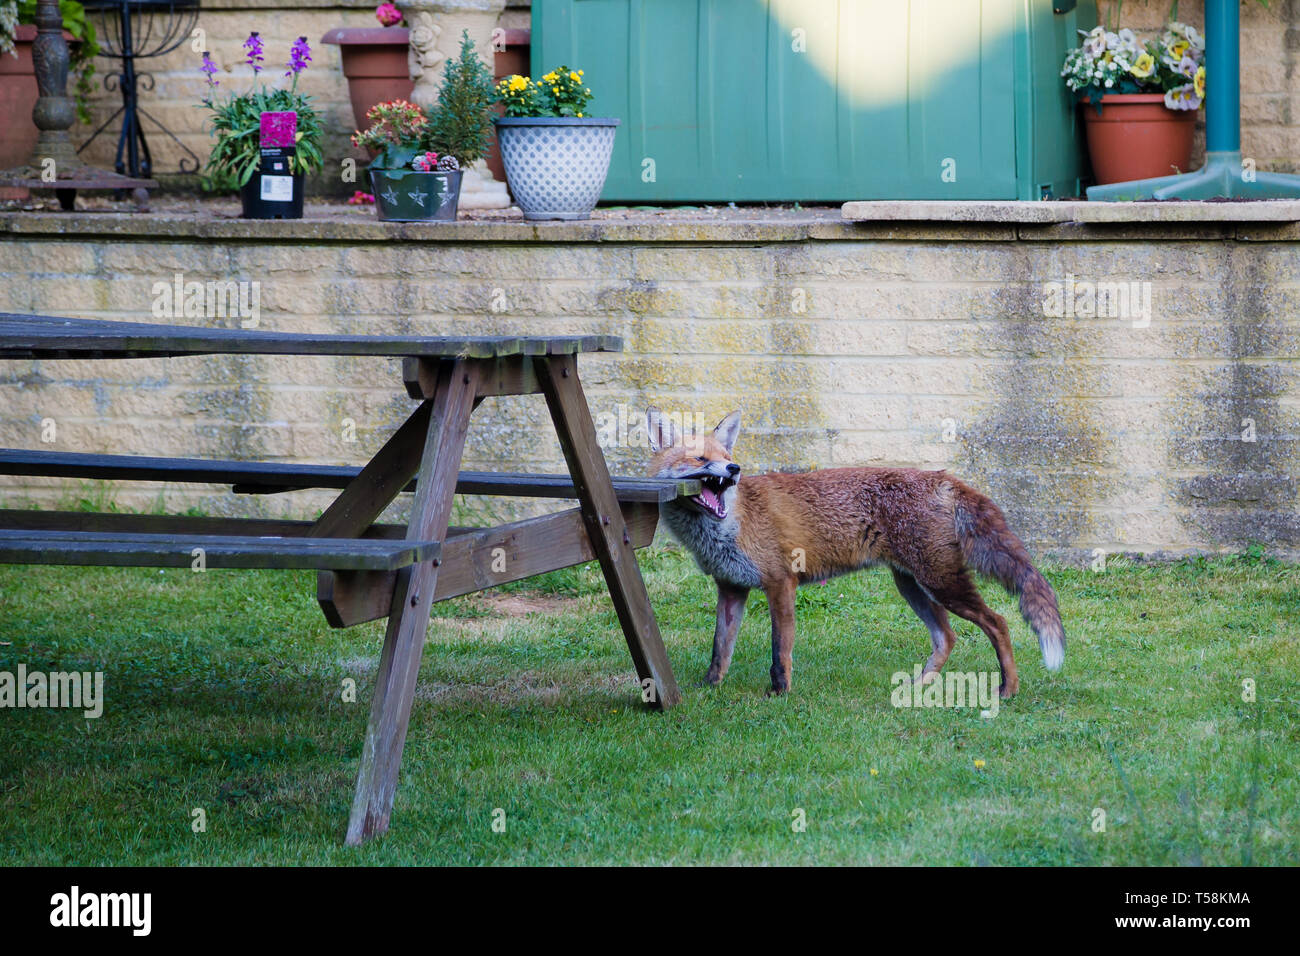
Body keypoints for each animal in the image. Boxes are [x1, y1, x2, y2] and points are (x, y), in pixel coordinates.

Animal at [650, 408, 1066, 697]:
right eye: (701, 459)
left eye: (726, 454)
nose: (734, 469)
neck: (729, 525)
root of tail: (941, 477)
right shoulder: (731, 587)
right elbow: (720, 648)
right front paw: (708, 688)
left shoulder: (780, 583)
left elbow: (779, 651)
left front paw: (779, 693)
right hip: (912, 585)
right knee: (947, 637)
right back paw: (918, 686)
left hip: (941, 582)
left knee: (999, 623)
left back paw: (1008, 688)